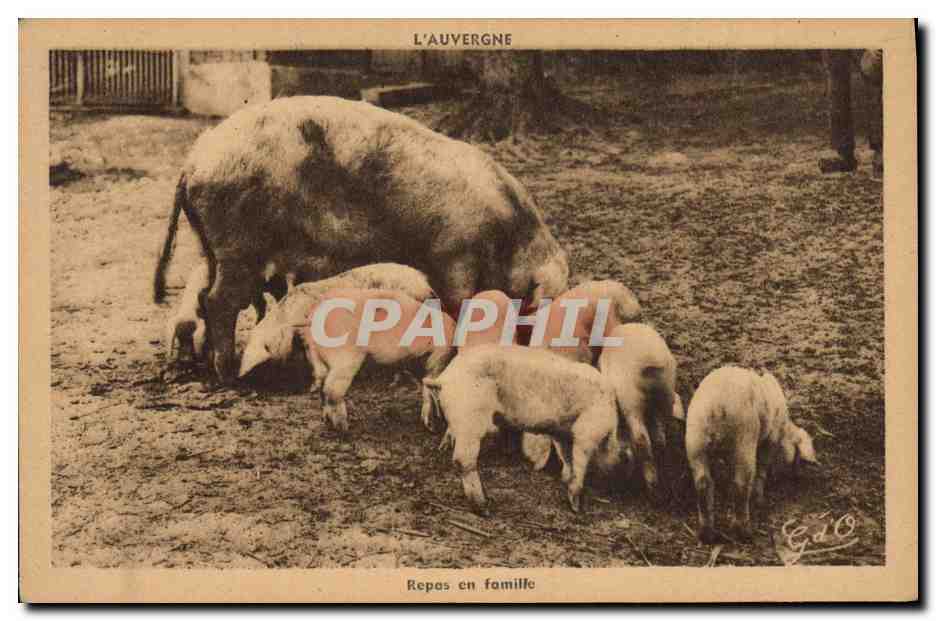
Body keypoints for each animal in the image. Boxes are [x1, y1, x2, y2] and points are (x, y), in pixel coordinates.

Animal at [301, 288, 456, 433]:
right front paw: (433, 426)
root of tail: (312, 318)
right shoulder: (438, 357)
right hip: (345, 358)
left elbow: (426, 389)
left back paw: (327, 421)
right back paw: (344, 428)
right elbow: (431, 390)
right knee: (331, 389)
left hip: (315, 357)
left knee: (322, 386)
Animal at [422, 345, 622, 514]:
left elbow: (568, 458)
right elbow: (580, 461)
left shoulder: (562, 433)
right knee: (463, 459)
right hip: (469, 416)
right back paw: (484, 507)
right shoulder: (587, 431)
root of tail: (445, 378)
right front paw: (576, 507)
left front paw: (565, 482)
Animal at [596, 323, 682, 497]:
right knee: (667, 423)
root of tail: (650, 360)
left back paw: (652, 488)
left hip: (631, 399)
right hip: (667, 389)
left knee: (641, 437)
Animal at [684, 366, 819, 544]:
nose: (797, 478)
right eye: (798, 453)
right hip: (745, 438)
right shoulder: (770, 439)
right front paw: (760, 500)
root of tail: (716, 406)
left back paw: (707, 535)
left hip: (695, 440)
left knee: (703, 483)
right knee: (741, 485)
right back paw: (745, 532)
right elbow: (763, 467)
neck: (784, 428)